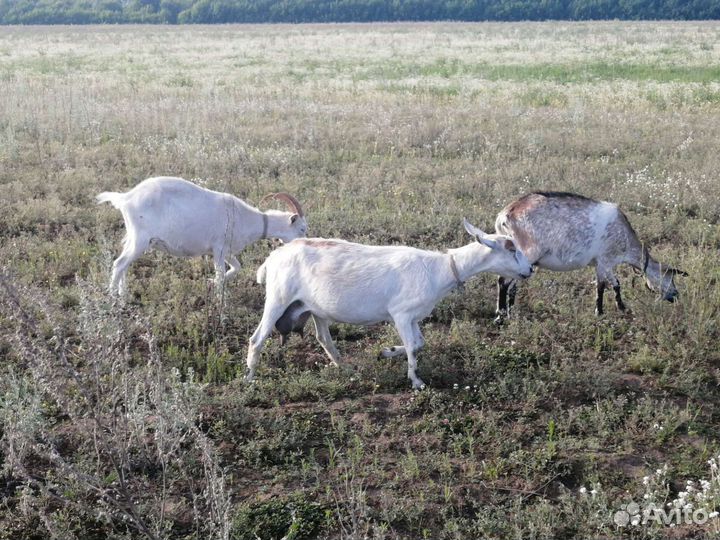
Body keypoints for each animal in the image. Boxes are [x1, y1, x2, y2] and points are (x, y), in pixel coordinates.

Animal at [97, 176, 307, 296]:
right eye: (303, 229)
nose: (305, 244)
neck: (246, 218)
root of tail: (125, 198)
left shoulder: (226, 251)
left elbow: (237, 267)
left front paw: (211, 283)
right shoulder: (219, 248)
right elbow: (221, 274)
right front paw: (220, 301)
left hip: (134, 239)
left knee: (124, 265)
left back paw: (123, 295)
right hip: (140, 240)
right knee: (119, 264)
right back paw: (113, 298)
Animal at [245, 220, 534, 389]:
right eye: (511, 249)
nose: (529, 269)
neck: (440, 269)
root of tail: (272, 258)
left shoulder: (414, 317)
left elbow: (419, 343)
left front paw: (386, 352)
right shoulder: (401, 313)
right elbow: (414, 346)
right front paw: (416, 381)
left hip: (314, 307)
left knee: (323, 337)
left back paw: (345, 368)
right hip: (278, 296)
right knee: (256, 338)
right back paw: (249, 378)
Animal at [494, 191, 687, 321]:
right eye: (670, 277)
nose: (676, 296)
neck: (625, 239)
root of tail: (505, 215)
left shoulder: (604, 263)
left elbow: (615, 284)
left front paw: (621, 307)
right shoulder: (604, 260)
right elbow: (602, 287)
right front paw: (599, 312)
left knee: (511, 283)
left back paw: (511, 313)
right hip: (527, 253)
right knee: (504, 281)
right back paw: (501, 315)